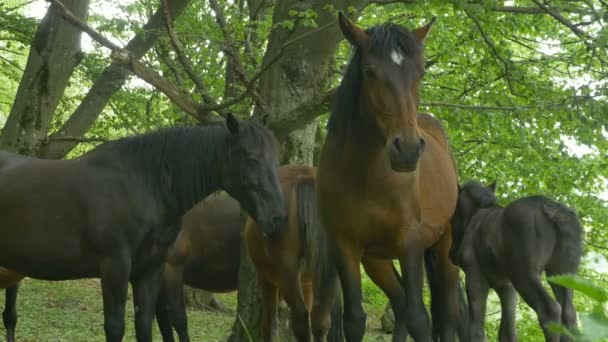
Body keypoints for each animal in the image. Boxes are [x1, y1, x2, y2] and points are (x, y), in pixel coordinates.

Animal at [245, 164, 338, 340]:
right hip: (329, 273)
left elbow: (268, 323)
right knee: (320, 321)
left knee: (300, 320)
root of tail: (305, 178)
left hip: (287, 273)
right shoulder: (307, 282)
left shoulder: (265, 277)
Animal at [316, 12, 464, 340]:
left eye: (420, 73)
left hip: (443, 252)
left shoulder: (409, 242)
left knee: (447, 310)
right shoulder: (345, 246)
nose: (407, 149)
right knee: (398, 301)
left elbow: (420, 318)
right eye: (370, 72)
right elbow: (355, 319)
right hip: (377, 260)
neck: (367, 177)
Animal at [448, 180, 580, 340]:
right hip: (561, 274)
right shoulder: (506, 285)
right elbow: (507, 331)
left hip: (524, 275)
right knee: (569, 313)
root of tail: (552, 210)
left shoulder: (475, 276)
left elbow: (476, 329)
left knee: (550, 309)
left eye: (454, 209)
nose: (452, 253)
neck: (473, 215)